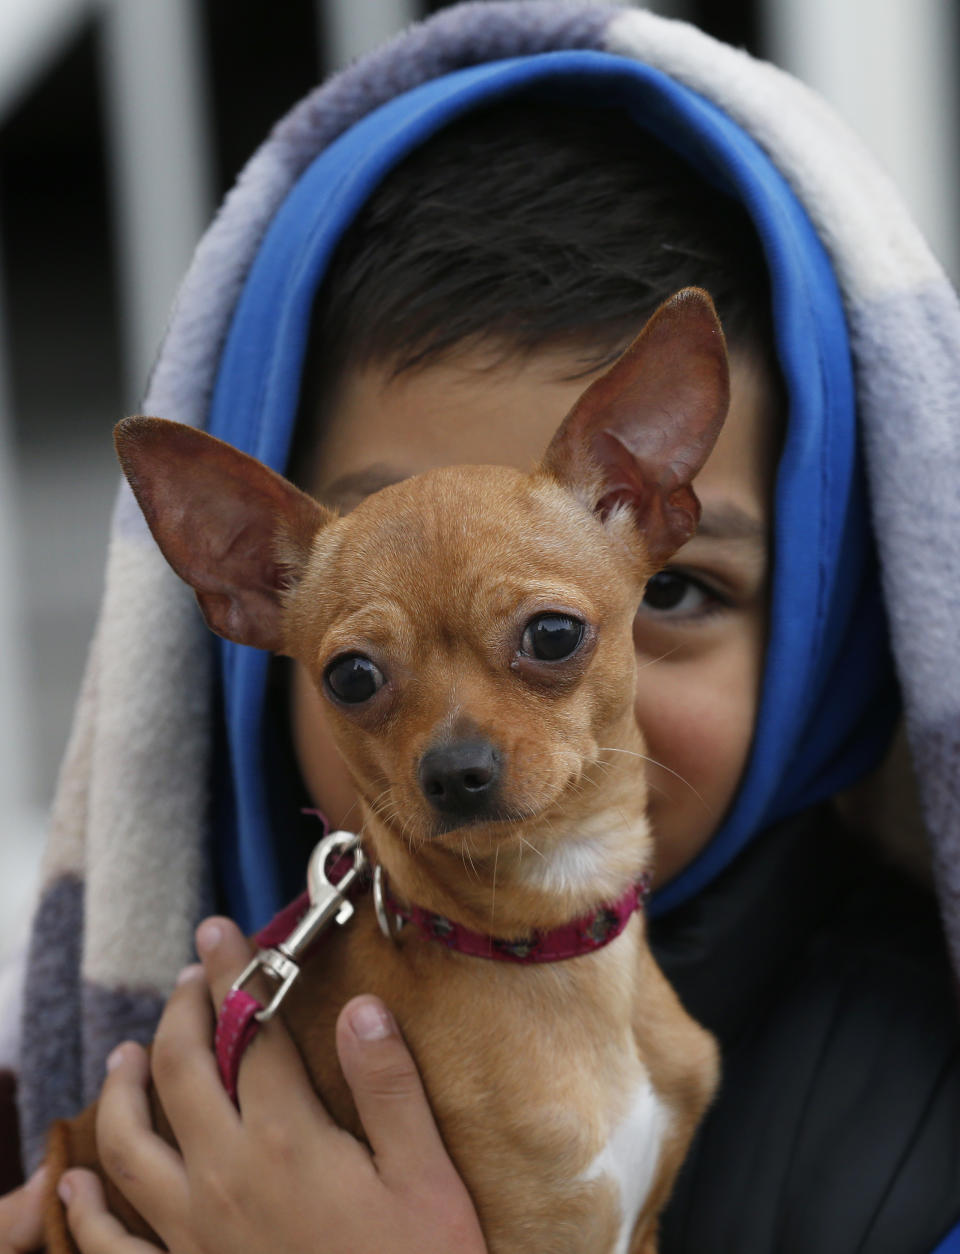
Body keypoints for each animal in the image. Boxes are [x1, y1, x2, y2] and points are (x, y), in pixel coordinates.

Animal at [43, 287, 721, 1254]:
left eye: (554, 635)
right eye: (351, 678)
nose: (456, 771)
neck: (539, 936)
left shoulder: (640, 1229)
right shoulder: (539, 1234)